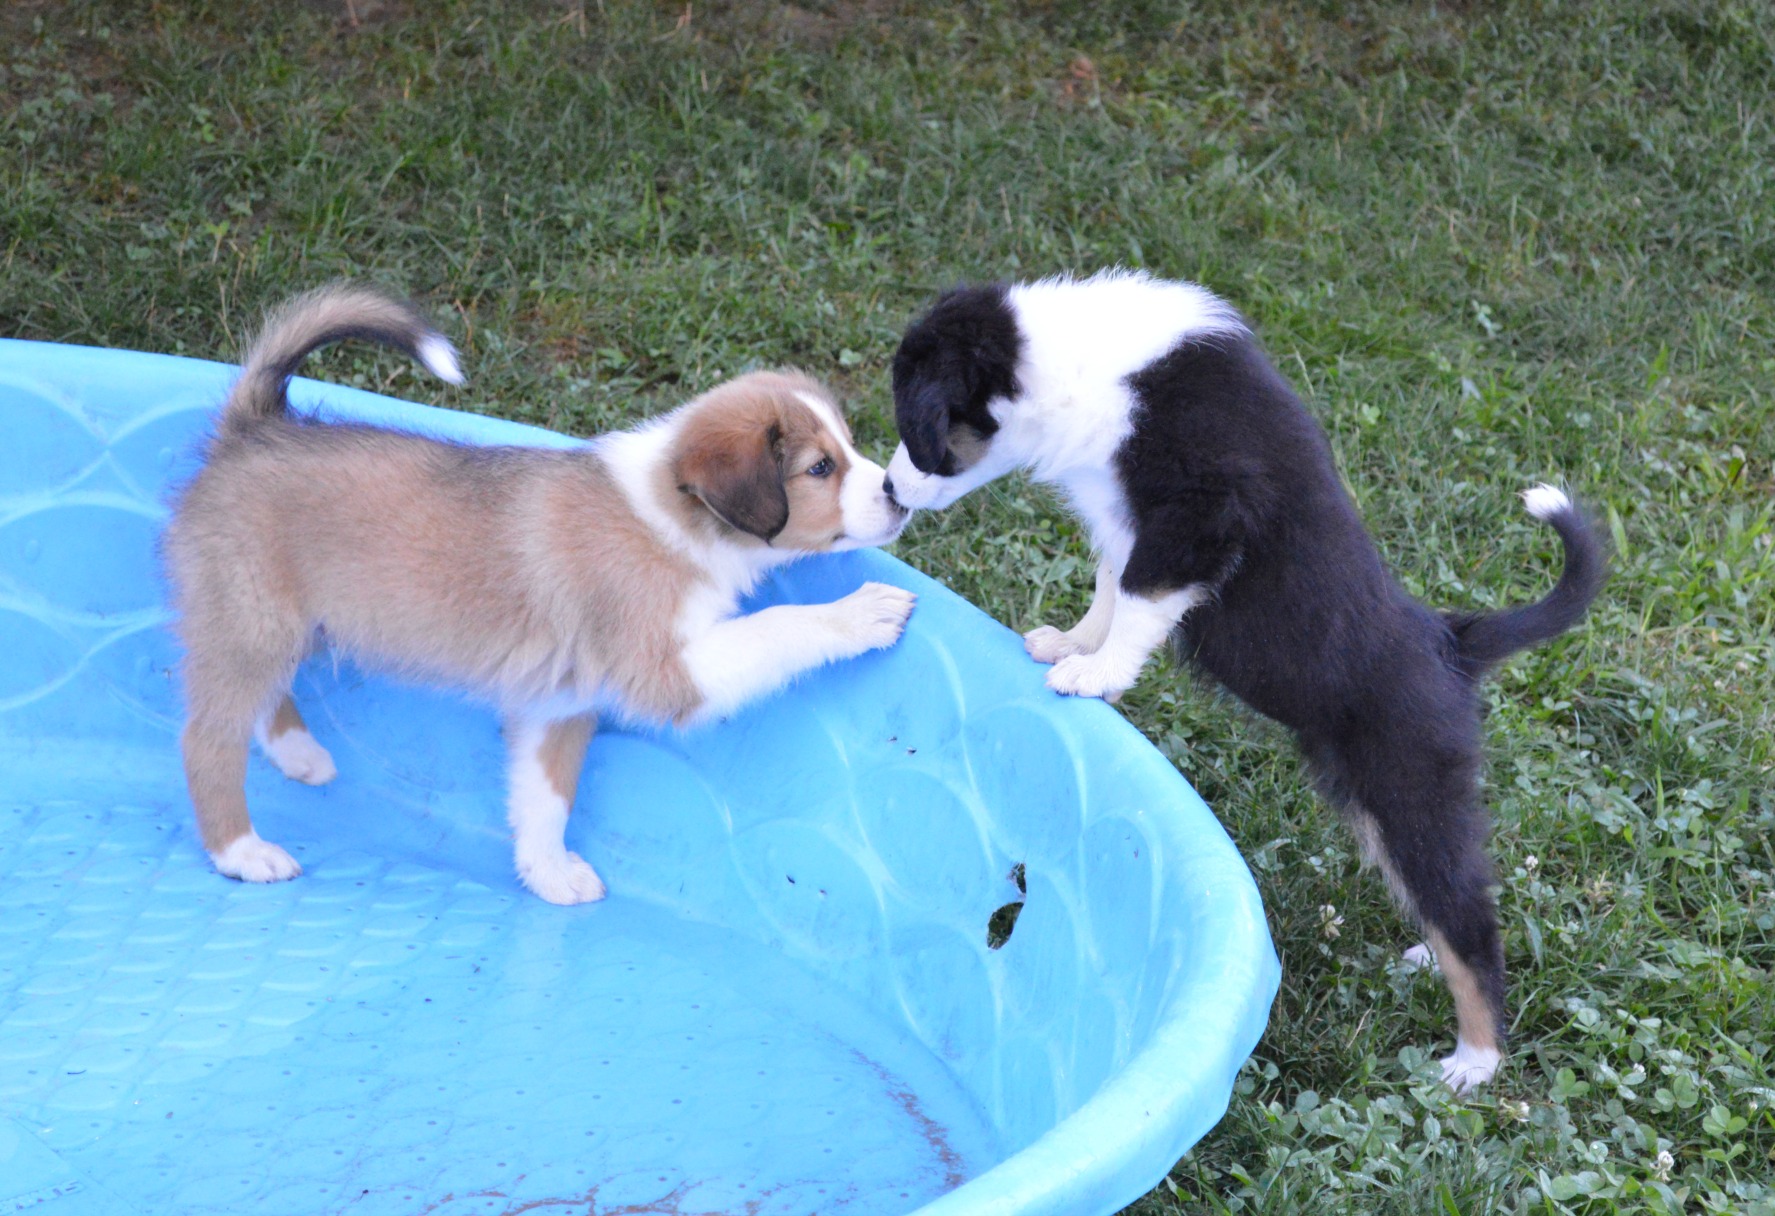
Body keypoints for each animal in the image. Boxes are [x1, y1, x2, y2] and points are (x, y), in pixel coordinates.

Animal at [163, 287, 915, 901]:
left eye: (848, 447)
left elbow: (547, 797)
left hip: (290, 624)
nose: (900, 496)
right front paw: (863, 612)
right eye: (819, 468)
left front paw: (549, 875)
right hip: (253, 621)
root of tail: (251, 428)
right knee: (207, 740)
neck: (672, 517)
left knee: (264, 702)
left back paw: (301, 755)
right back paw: (243, 852)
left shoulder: (558, 703)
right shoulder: (664, 669)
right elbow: (779, 624)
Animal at [887, 269, 1611, 1086]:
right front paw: (1070, 645)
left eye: (918, 425)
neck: (1078, 365)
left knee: (1468, 916)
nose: (887, 490)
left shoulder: (1201, 513)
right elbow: (1109, 585)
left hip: (1408, 784)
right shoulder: (1127, 523)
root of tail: (1451, 641)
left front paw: (1094, 676)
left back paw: (1473, 1060)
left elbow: (1138, 597)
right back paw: (1426, 960)